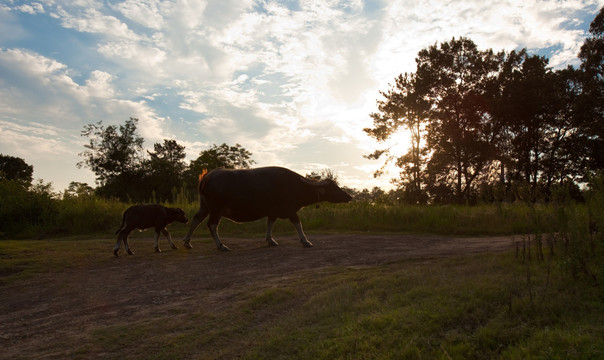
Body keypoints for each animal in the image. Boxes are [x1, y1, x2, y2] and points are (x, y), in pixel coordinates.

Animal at [184, 166, 354, 250]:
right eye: (333, 188)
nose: (349, 196)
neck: (295, 186)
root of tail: (206, 178)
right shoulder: (290, 210)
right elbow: (298, 224)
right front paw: (306, 241)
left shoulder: (274, 212)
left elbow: (270, 224)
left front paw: (270, 240)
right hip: (216, 209)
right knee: (211, 225)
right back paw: (221, 245)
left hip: (205, 207)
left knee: (196, 220)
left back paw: (187, 243)